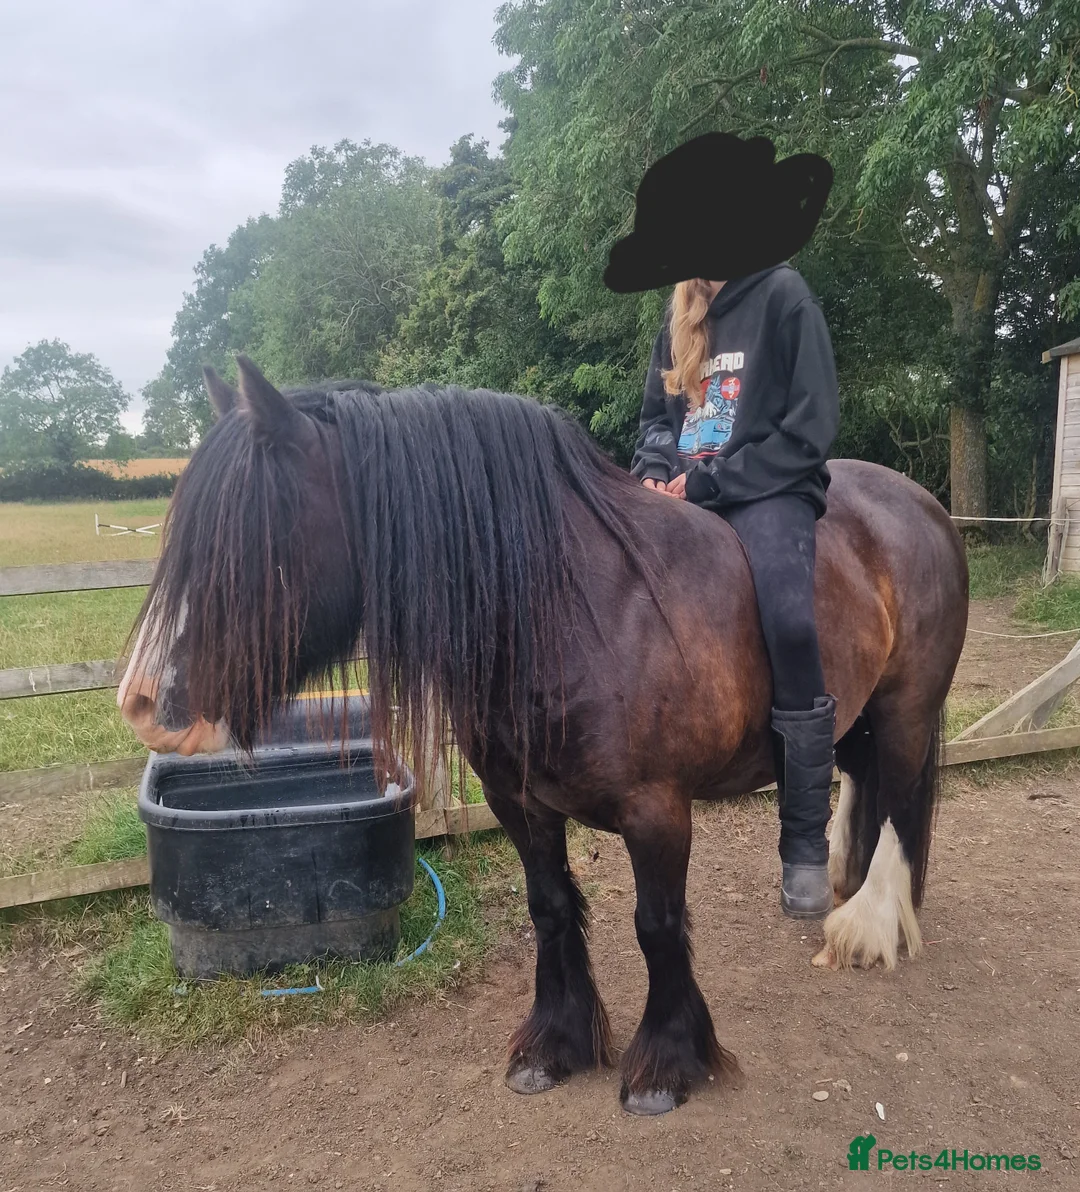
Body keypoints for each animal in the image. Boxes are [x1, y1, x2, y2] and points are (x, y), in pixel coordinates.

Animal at [118, 354, 969, 1116]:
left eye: (248, 536)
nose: (143, 701)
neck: (572, 607)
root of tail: (922, 504)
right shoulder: (520, 803)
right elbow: (551, 909)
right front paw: (556, 1045)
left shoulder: (658, 810)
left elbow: (657, 925)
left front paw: (666, 1063)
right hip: (858, 714)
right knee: (862, 785)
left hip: (905, 712)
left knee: (898, 803)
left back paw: (868, 926)